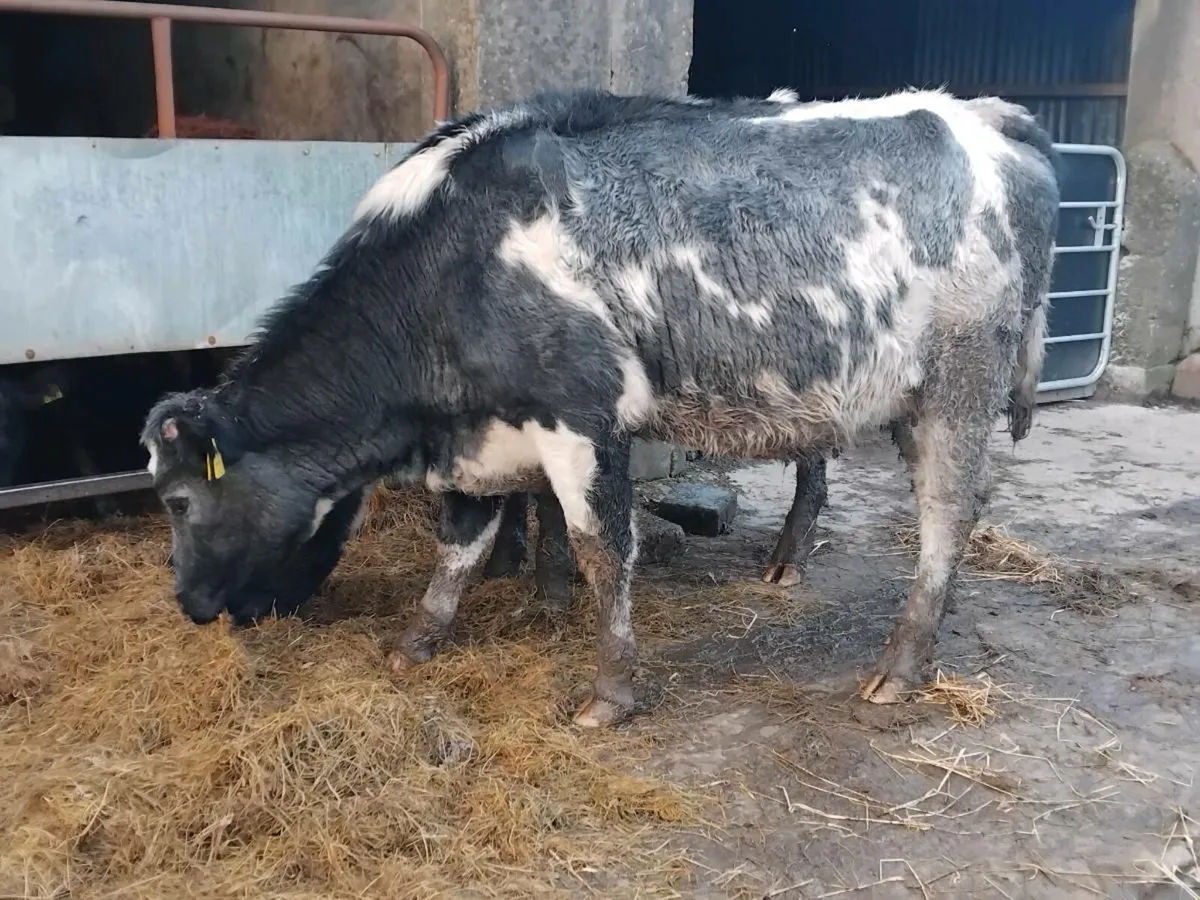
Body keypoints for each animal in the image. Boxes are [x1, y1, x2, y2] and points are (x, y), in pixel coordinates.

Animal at [139, 86, 1059, 728]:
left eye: (179, 500)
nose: (188, 607)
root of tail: (985, 117)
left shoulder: (581, 415)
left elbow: (600, 551)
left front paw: (609, 692)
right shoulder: (477, 436)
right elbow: (459, 548)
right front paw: (415, 645)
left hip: (960, 382)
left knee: (947, 514)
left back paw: (899, 667)